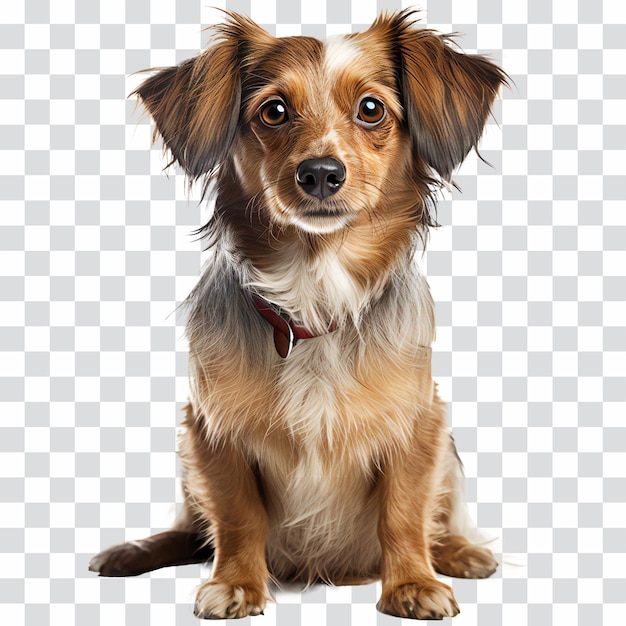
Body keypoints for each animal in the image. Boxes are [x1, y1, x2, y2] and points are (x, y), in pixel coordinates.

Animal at [89, 9, 508, 620]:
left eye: (371, 108)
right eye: (274, 111)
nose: (321, 172)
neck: (315, 297)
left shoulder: (419, 426)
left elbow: (405, 512)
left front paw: (412, 583)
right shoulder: (211, 432)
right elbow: (239, 517)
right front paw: (236, 583)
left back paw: (459, 552)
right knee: (190, 532)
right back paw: (133, 551)